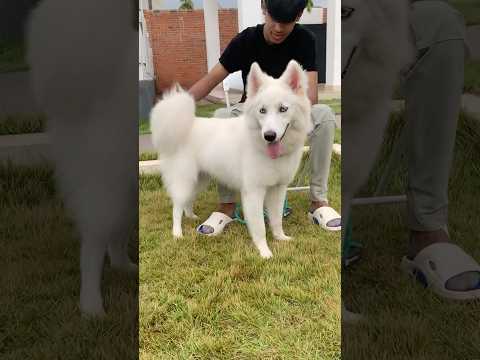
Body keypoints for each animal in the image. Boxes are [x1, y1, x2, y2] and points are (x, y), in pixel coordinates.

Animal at [152, 61, 314, 258]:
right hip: (184, 180)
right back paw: (177, 233)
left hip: (199, 180)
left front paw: (280, 238)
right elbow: (260, 227)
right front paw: (264, 251)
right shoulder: (254, 193)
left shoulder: (277, 190)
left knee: (187, 202)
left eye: (283, 109)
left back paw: (191, 217)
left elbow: (276, 220)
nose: (269, 136)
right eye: (262, 111)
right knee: (176, 207)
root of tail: (182, 125)